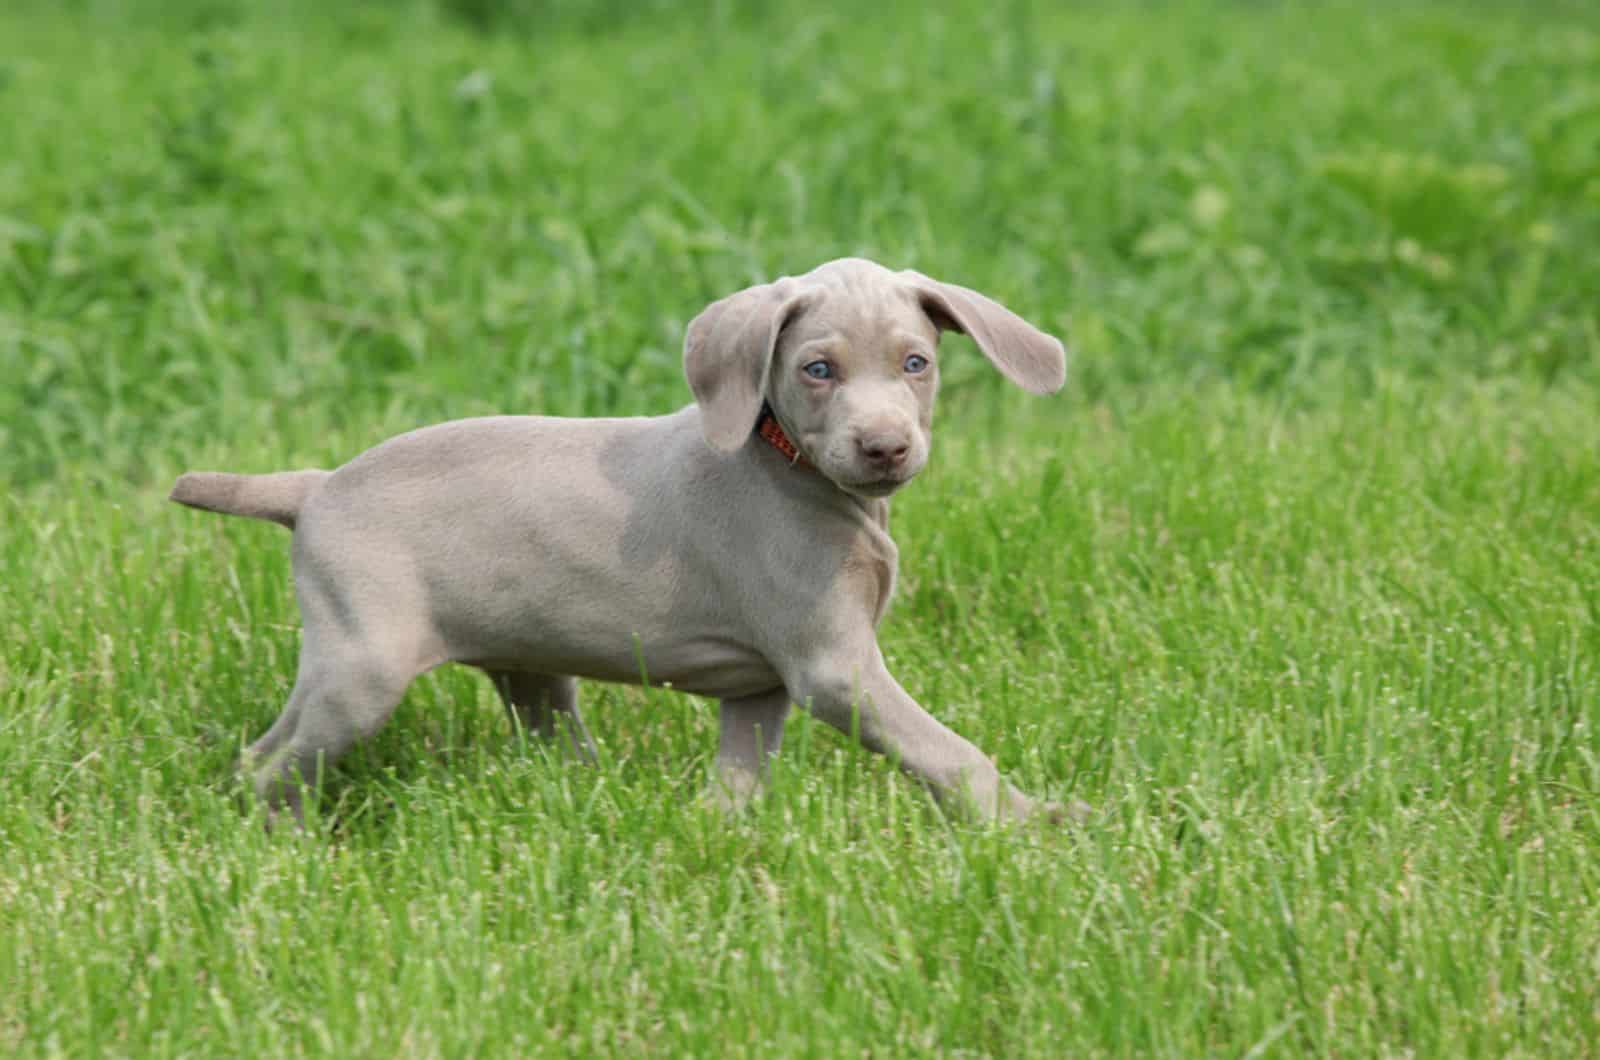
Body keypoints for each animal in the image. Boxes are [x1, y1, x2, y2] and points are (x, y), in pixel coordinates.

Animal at [172, 257, 1075, 819]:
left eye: (916, 363)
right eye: (818, 371)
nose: (886, 447)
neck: (792, 466)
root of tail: (316, 486)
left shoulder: (761, 688)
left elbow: (738, 781)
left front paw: (719, 836)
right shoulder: (833, 669)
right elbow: (949, 751)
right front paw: (1032, 822)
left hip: (517, 666)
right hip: (363, 664)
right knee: (274, 763)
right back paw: (285, 842)